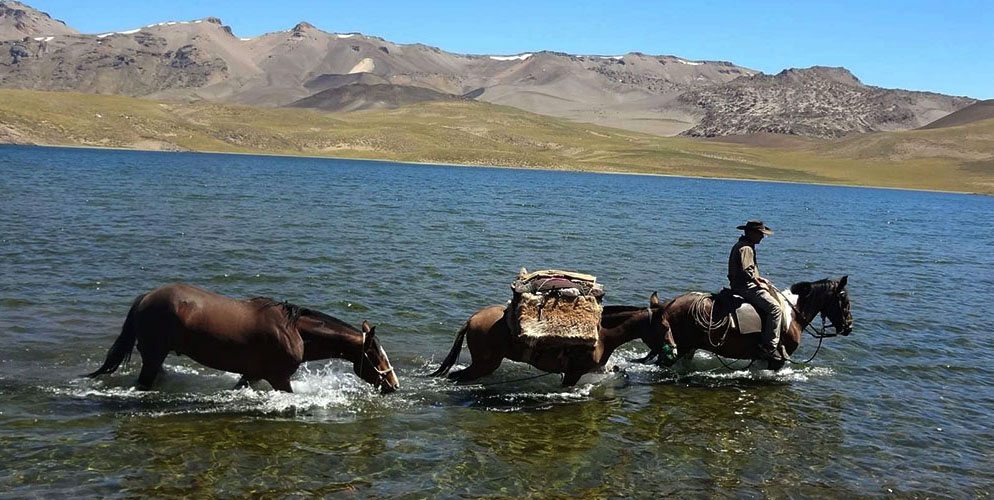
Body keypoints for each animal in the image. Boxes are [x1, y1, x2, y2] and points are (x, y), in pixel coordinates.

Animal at [85, 284, 402, 392]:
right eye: (376, 355)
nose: (393, 384)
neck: (295, 332)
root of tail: (145, 298)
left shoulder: (252, 374)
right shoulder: (278, 378)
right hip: (152, 356)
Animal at [430, 292, 672, 386]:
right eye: (665, 326)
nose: (675, 350)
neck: (602, 335)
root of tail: (472, 319)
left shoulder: (596, 369)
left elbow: (618, 371)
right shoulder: (573, 374)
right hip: (484, 363)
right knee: (458, 377)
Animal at [652, 276, 852, 370]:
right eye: (843, 297)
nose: (849, 326)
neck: (792, 316)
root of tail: (668, 306)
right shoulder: (775, 362)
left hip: (688, 349)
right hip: (680, 348)